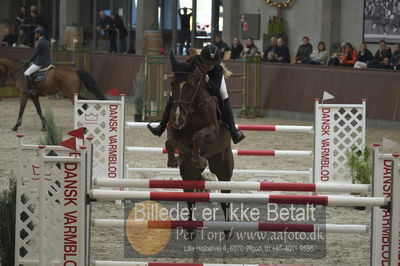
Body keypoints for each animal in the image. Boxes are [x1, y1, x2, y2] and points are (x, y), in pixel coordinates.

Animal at [165, 53, 233, 239]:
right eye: (172, 84)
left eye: (191, 85)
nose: (178, 119)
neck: (193, 109)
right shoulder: (173, 129)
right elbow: (170, 141)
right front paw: (174, 160)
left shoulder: (212, 131)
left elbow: (198, 137)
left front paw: (199, 158)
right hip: (188, 173)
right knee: (190, 197)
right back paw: (190, 229)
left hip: (223, 167)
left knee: (225, 196)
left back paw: (228, 229)